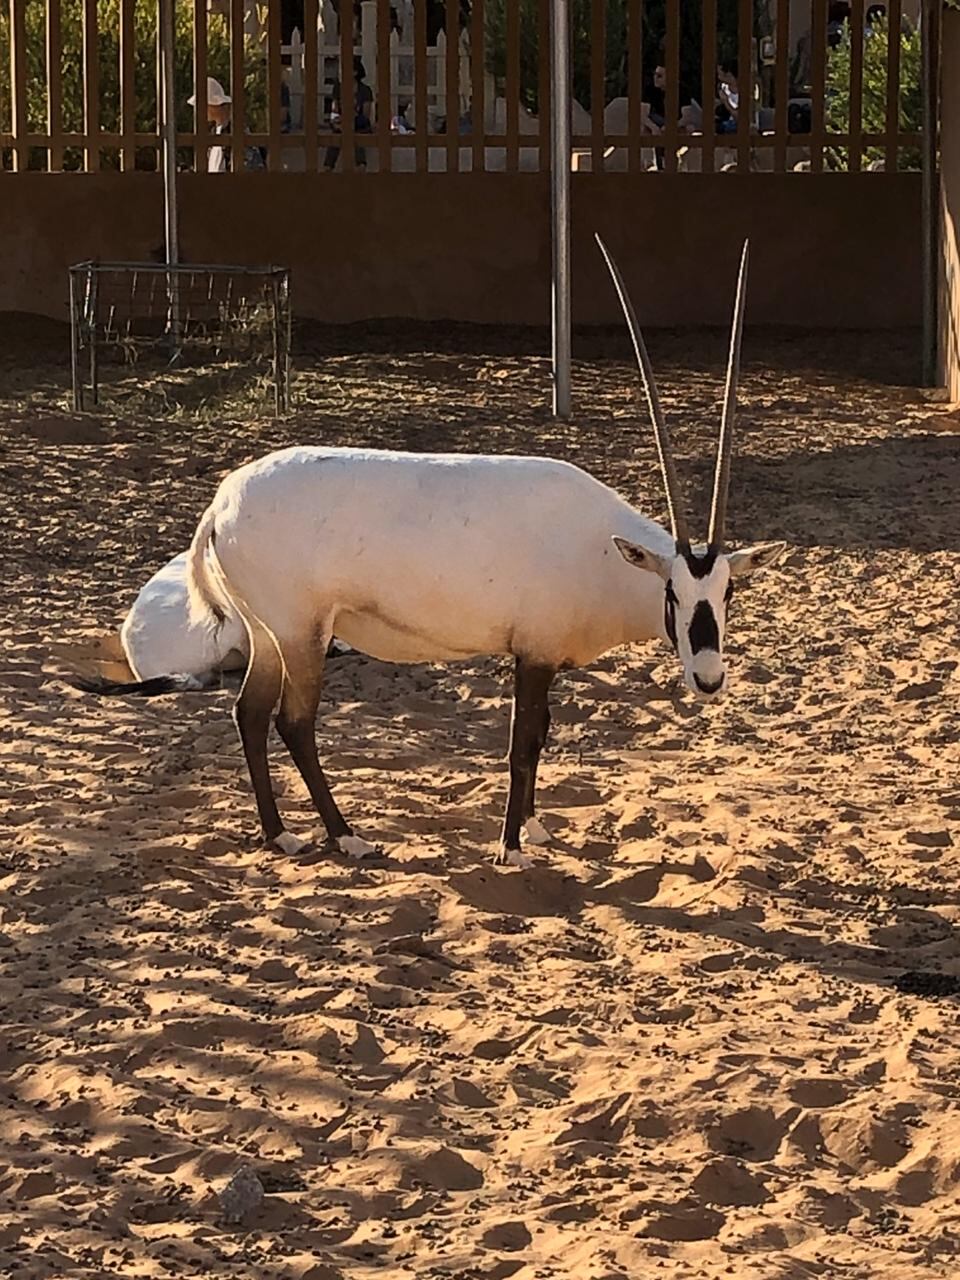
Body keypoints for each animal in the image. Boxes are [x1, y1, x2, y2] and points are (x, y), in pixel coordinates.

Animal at [183, 238, 784, 867]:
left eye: (729, 590)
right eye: (672, 591)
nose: (708, 678)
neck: (600, 551)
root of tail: (220, 506)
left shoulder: (542, 656)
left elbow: (540, 734)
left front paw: (536, 828)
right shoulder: (533, 655)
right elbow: (522, 744)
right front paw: (510, 846)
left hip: (267, 634)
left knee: (249, 714)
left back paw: (280, 833)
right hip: (303, 634)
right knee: (294, 723)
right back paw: (347, 835)